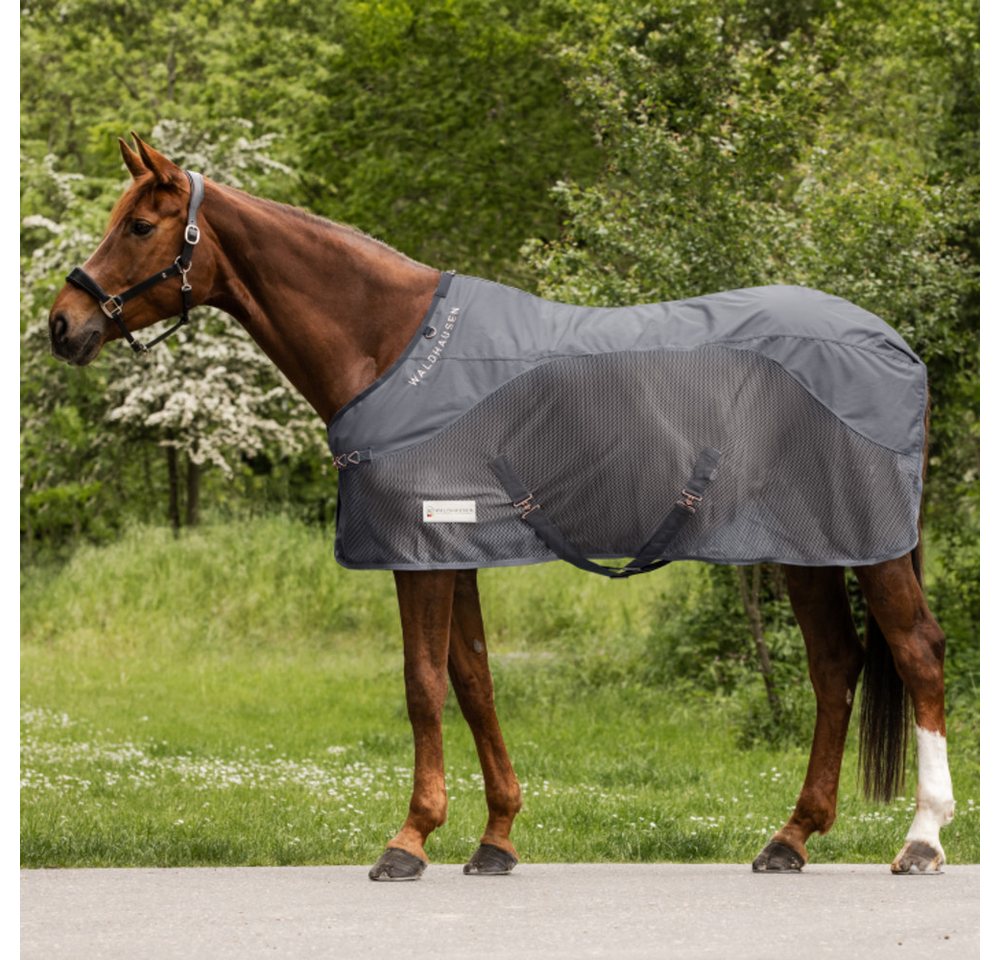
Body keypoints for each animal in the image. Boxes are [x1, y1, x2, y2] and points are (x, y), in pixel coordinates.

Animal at [47, 135, 955, 880]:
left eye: (139, 226)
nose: (63, 323)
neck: (391, 347)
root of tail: (893, 344)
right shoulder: (454, 551)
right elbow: (474, 680)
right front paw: (496, 838)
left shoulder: (418, 553)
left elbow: (422, 684)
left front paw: (409, 840)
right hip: (806, 548)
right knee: (836, 665)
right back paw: (789, 839)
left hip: (867, 546)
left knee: (916, 653)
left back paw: (922, 839)